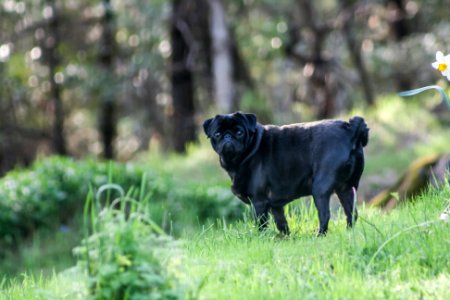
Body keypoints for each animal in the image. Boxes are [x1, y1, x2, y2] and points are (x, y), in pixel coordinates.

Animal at [204, 111, 370, 236]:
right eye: (217, 134)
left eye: (239, 132)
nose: (227, 137)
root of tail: (350, 130)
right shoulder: (275, 206)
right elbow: (282, 224)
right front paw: (285, 239)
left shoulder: (259, 202)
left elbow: (261, 224)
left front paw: (262, 239)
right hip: (346, 189)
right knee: (351, 213)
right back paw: (349, 233)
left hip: (320, 189)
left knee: (325, 214)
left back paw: (320, 235)